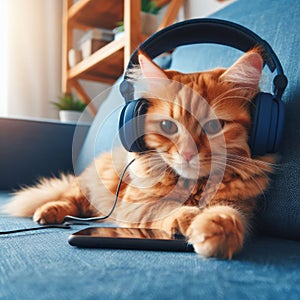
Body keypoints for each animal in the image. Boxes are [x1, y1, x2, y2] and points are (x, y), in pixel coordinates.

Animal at [3, 48, 276, 258]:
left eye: (214, 127)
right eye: (168, 126)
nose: (188, 154)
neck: (193, 187)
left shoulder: (242, 205)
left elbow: (229, 215)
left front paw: (215, 229)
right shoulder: (133, 204)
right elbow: (163, 208)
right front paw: (188, 216)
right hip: (86, 187)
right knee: (70, 200)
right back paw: (49, 211)